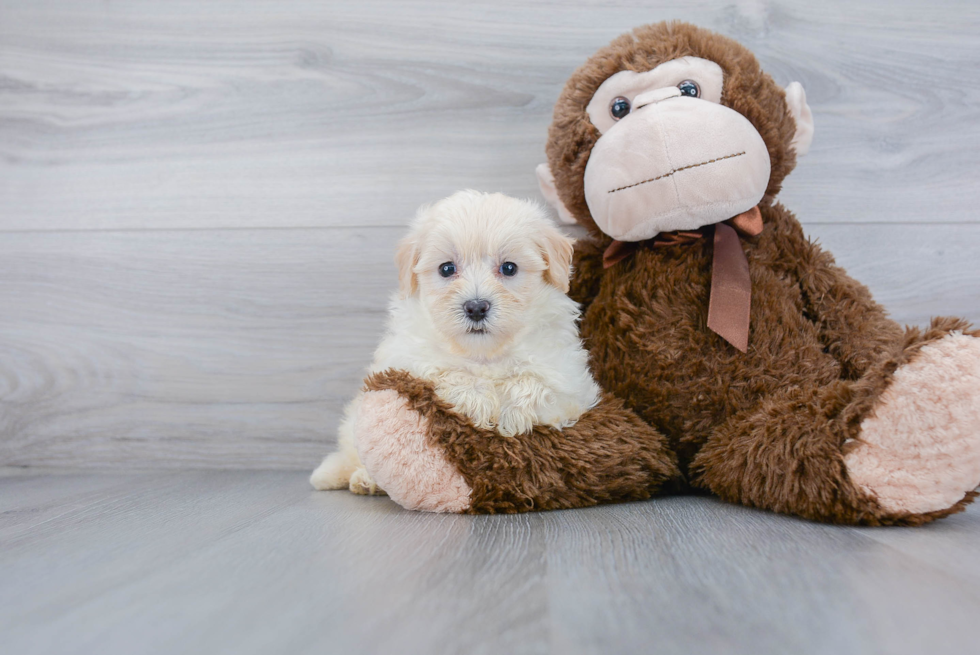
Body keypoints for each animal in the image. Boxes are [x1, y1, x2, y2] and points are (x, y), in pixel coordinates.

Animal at [308, 192, 596, 494]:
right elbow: (445, 373)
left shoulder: (570, 382)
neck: (484, 353)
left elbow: (536, 384)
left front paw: (512, 416)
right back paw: (365, 479)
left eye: (509, 268)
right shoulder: (407, 359)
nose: (476, 307)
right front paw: (479, 401)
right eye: (447, 269)